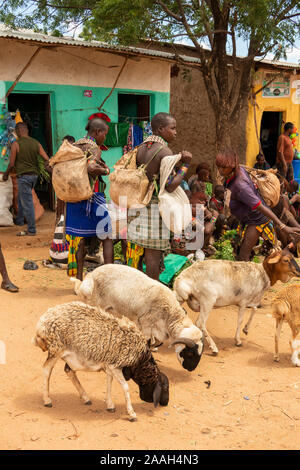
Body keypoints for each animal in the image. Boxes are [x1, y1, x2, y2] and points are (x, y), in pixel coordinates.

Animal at [33, 302, 169, 422]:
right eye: (165, 388)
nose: (166, 403)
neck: (140, 359)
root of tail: (41, 323)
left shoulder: (109, 364)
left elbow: (109, 381)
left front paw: (110, 405)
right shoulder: (116, 365)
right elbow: (125, 387)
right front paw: (131, 413)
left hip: (70, 354)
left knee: (69, 371)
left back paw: (86, 398)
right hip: (56, 349)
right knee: (46, 369)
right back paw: (47, 400)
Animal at [72, 264, 204, 370]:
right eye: (190, 353)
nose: (192, 369)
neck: (169, 313)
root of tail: (91, 274)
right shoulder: (146, 325)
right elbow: (147, 343)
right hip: (94, 302)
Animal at [172, 248, 300, 354]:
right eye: (286, 260)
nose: (299, 271)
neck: (262, 274)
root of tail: (182, 279)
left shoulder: (251, 301)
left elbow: (254, 309)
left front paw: (246, 329)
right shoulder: (243, 302)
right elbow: (240, 320)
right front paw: (238, 340)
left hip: (181, 299)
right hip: (208, 301)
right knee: (200, 323)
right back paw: (214, 348)